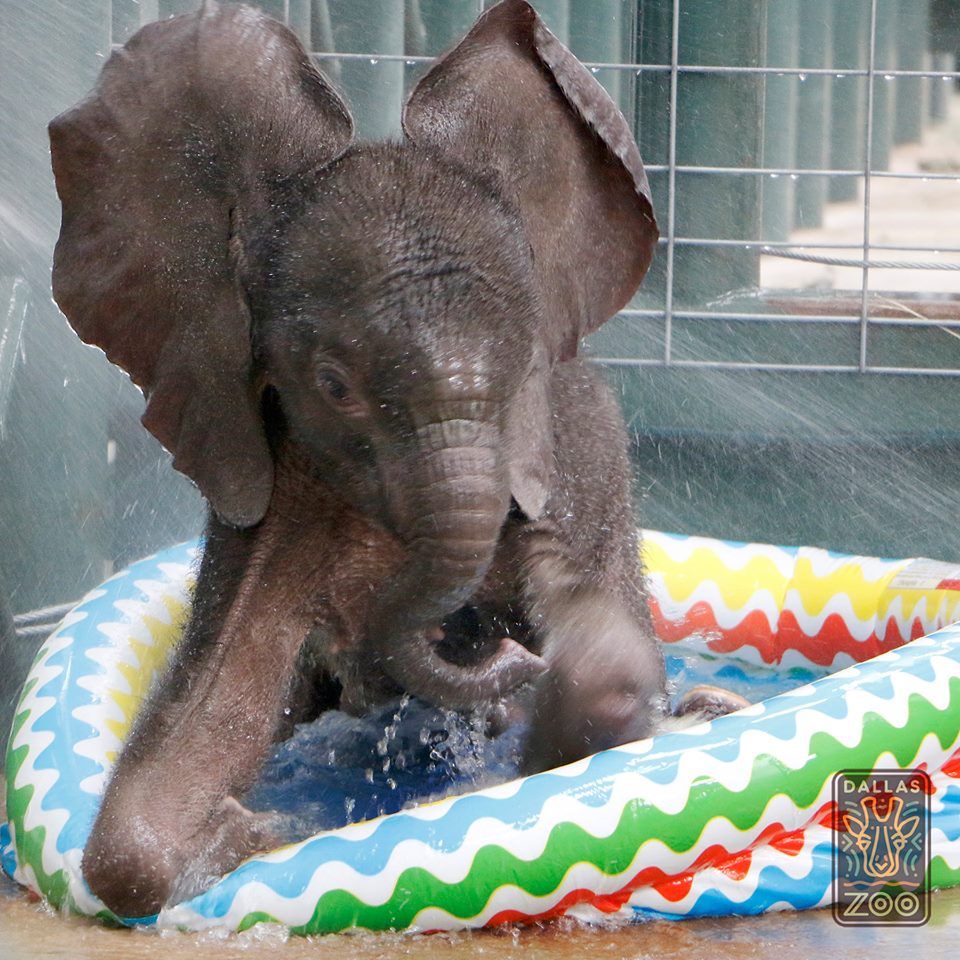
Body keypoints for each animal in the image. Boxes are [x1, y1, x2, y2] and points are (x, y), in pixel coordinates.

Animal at [47, 0, 686, 918]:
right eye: (333, 385)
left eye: (520, 364)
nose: (501, 652)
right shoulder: (269, 486)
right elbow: (197, 736)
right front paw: (260, 833)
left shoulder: (574, 452)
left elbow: (605, 646)